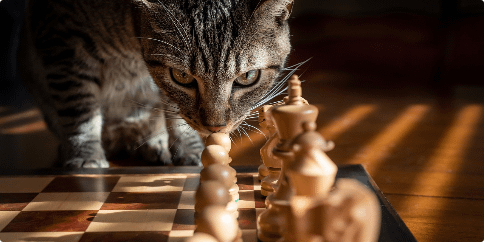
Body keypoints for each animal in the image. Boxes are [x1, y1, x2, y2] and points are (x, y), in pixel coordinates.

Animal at [17, 0, 294, 167]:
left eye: (247, 77)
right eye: (182, 76)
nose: (215, 127)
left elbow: (176, 115)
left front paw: (189, 150)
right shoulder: (62, 42)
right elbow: (80, 112)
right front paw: (86, 156)